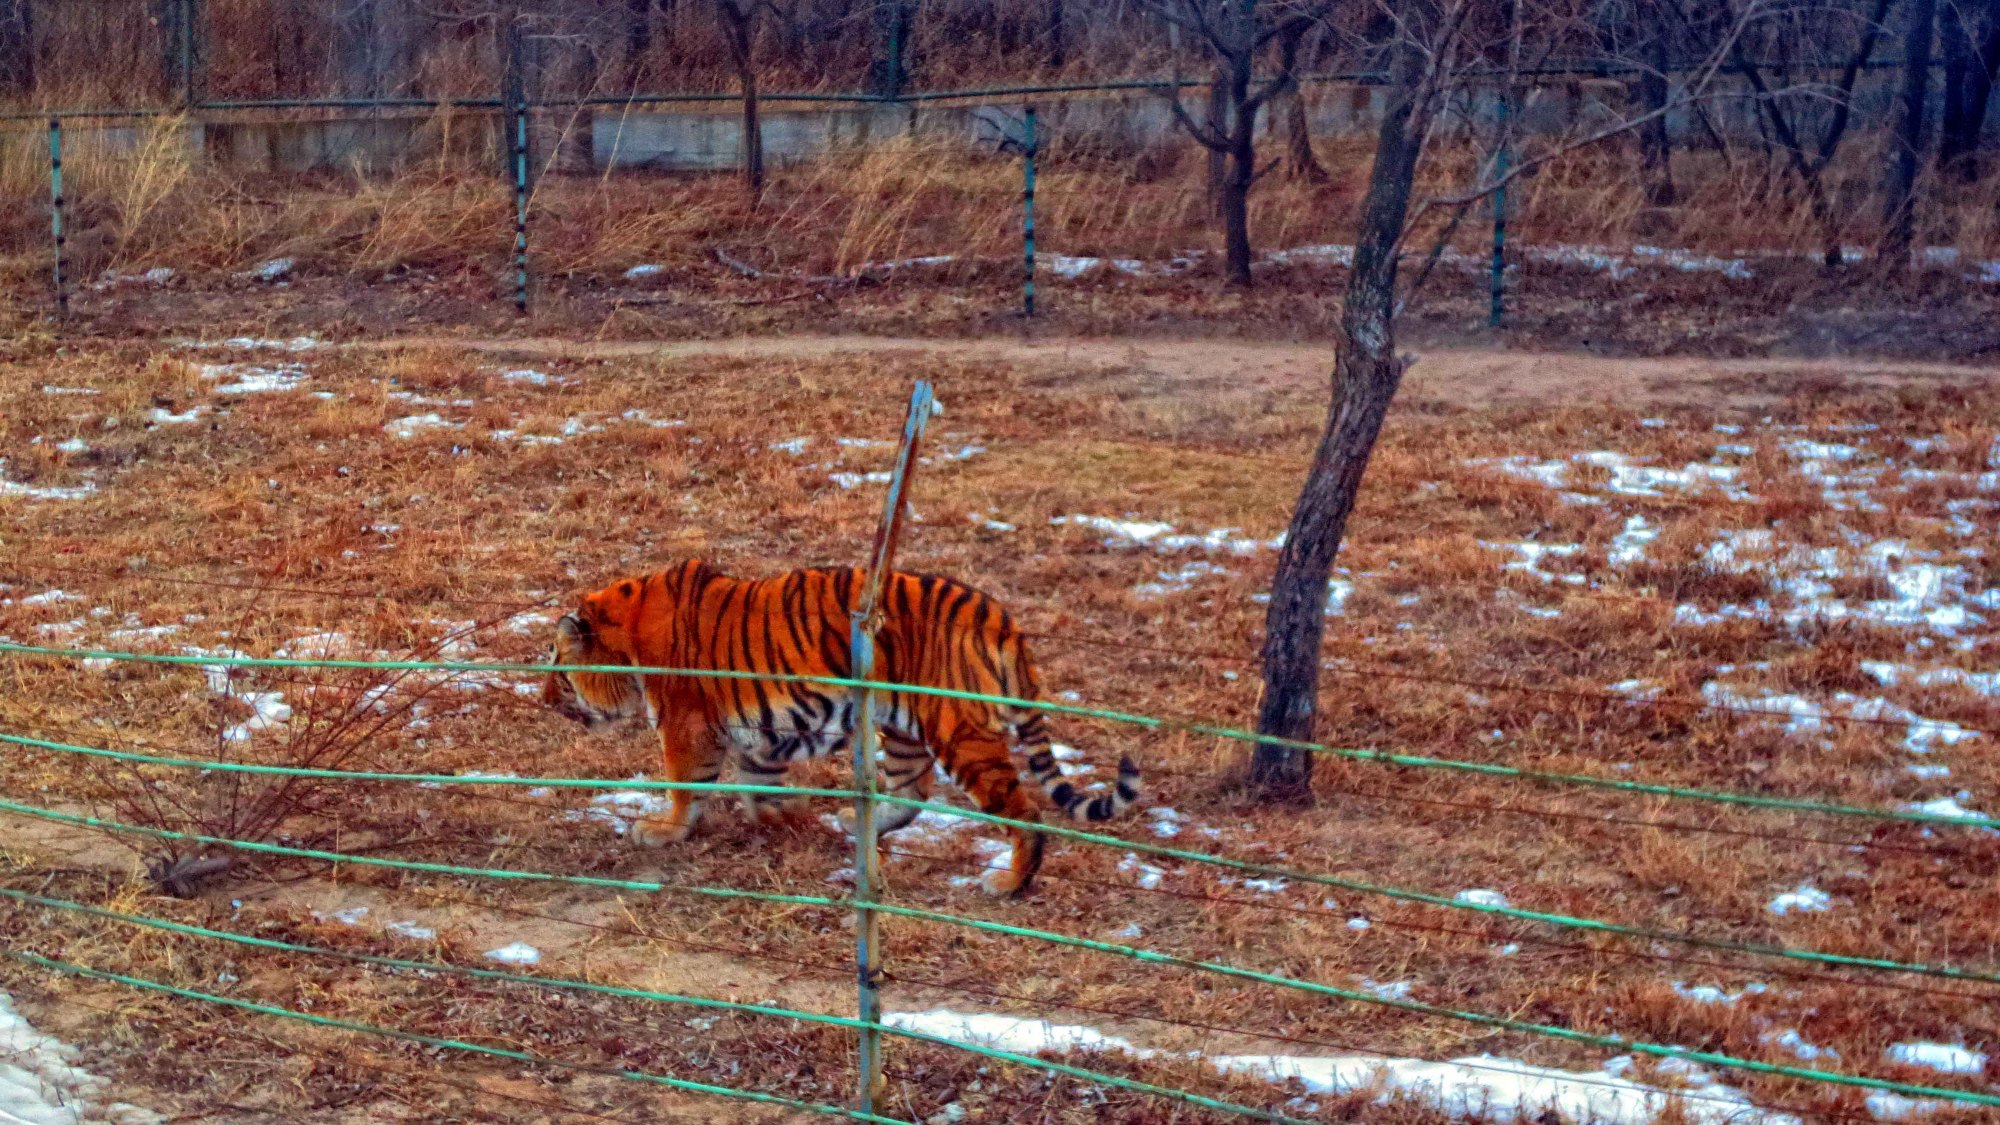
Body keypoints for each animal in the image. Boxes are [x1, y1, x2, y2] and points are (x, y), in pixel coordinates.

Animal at [544, 556, 1144, 892]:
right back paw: (854, 827)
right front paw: (784, 820)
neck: (628, 639)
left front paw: (663, 831)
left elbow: (685, 785)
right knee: (910, 795)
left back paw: (1009, 883)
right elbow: (759, 784)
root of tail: (1000, 617)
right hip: (904, 728)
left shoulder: (686, 723)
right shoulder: (757, 733)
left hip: (960, 733)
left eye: (559, 672)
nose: (545, 699)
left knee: (1024, 812)